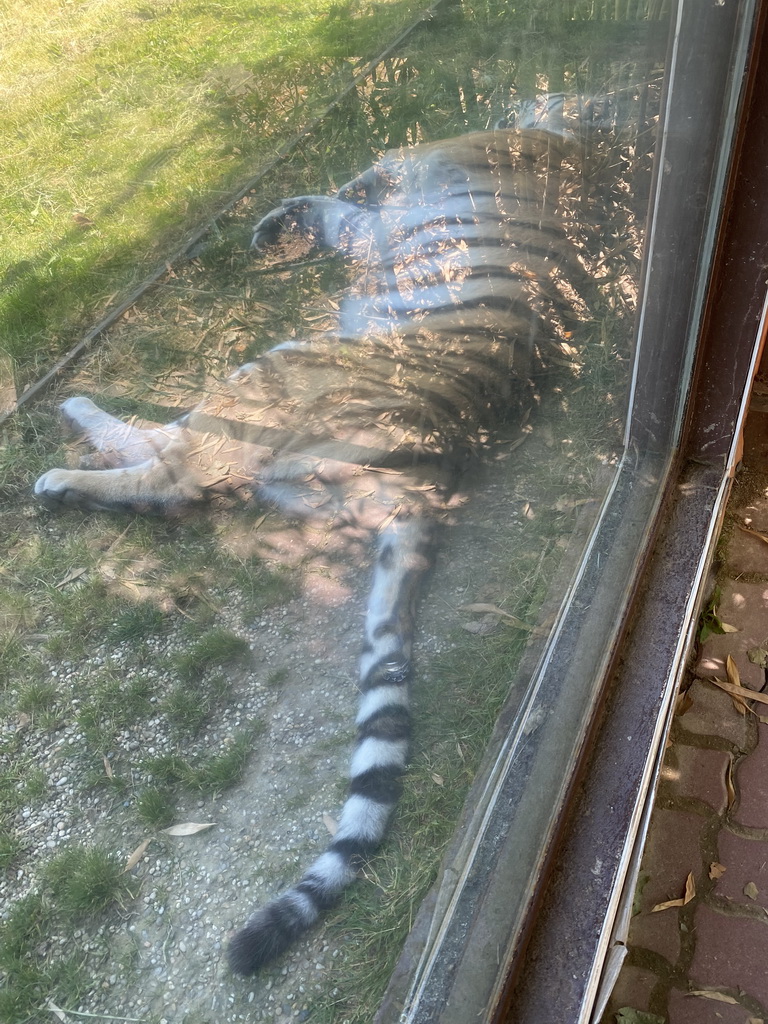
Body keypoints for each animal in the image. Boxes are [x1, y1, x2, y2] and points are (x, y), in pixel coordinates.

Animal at [34, 125, 602, 974]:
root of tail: (435, 471)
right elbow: (339, 209)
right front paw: (286, 220)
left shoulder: (410, 187)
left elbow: (352, 201)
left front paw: (308, 207)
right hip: (311, 468)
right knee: (200, 482)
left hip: (269, 375)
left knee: (175, 471)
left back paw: (68, 449)